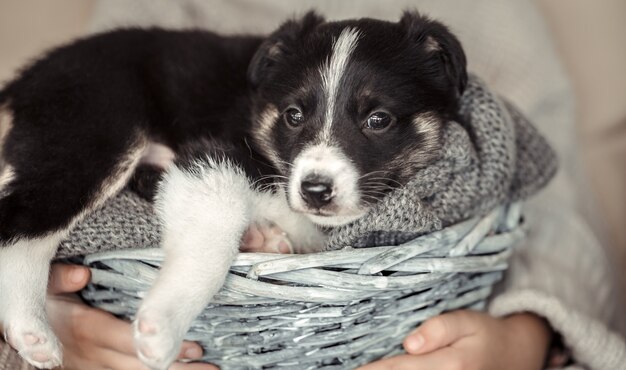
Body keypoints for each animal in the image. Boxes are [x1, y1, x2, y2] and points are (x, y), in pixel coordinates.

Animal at [0, 11, 464, 370]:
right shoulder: (207, 161)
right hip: (94, 133)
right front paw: (161, 325)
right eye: (294, 115)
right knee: (22, 225)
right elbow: (212, 240)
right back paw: (31, 329)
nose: (314, 190)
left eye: (378, 119)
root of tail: (30, 75)